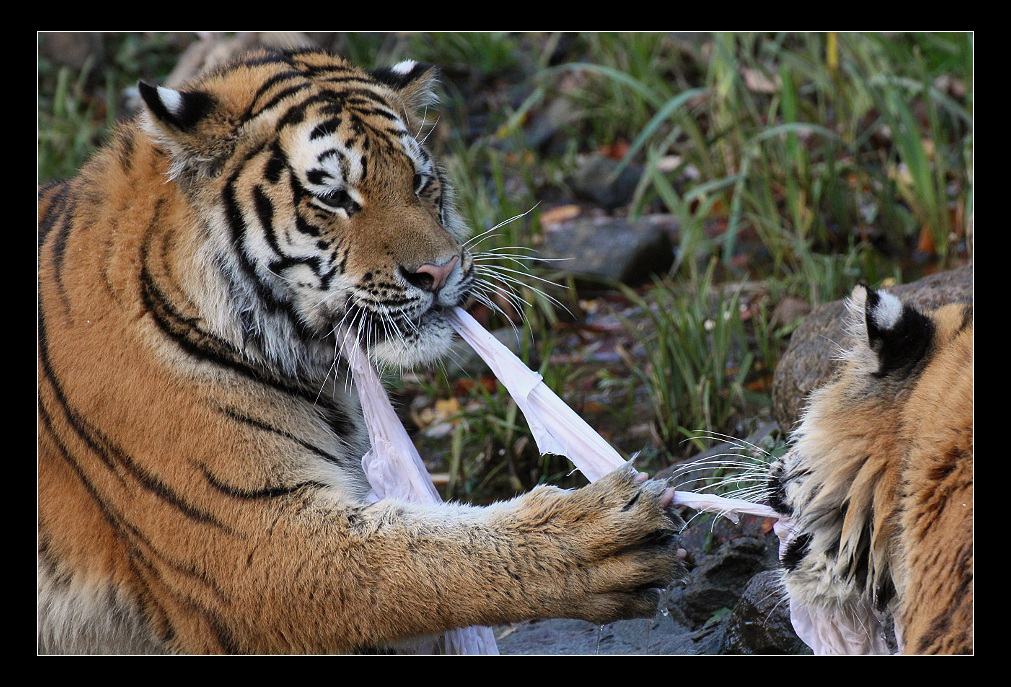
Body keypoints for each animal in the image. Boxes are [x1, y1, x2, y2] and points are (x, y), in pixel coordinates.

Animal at [35, 49, 683, 654]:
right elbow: (417, 563)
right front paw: (595, 537)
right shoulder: (248, 541)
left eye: (420, 182)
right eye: (335, 196)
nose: (439, 271)